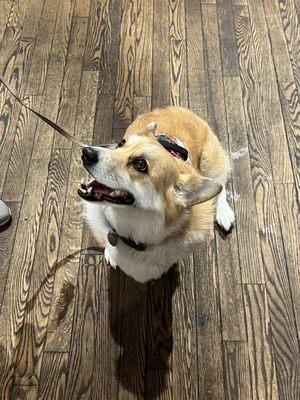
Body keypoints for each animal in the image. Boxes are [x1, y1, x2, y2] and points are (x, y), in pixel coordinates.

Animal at [79, 105, 234, 282]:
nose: (86, 152)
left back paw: (224, 214)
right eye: (121, 144)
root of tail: (172, 108)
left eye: (140, 164)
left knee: (221, 184)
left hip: (211, 163)